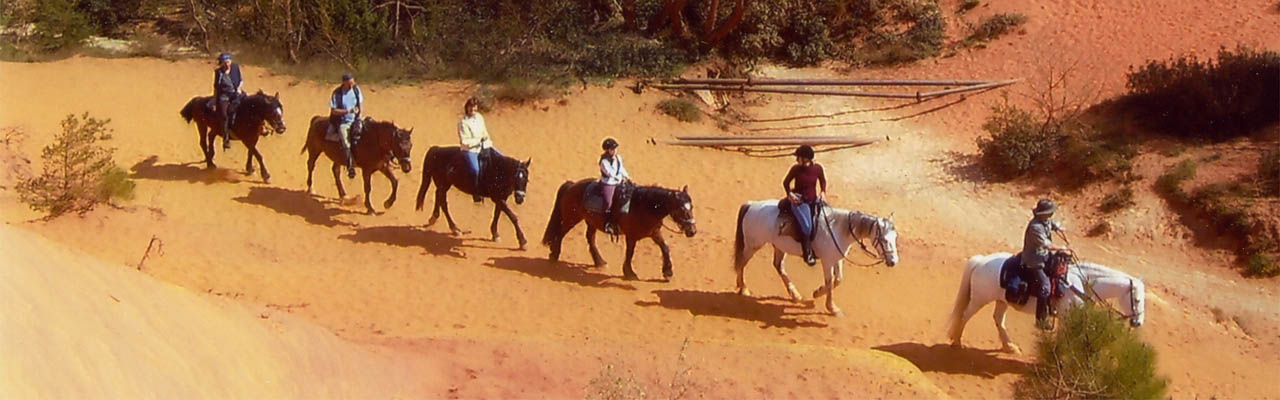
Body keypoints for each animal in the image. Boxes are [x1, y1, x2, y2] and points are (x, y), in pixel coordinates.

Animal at [542, 179, 701, 280]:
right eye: (681, 209)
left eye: (691, 207)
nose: (692, 231)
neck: (642, 206)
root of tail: (572, 185)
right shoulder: (631, 236)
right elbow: (630, 253)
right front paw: (629, 273)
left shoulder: (654, 233)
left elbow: (665, 248)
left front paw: (668, 272)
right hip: (571, 219)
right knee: (560, 234)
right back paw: (554, 255)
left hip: (591, 222)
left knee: (590, 238)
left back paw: (599, 261)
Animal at [732, 201, 901, 316]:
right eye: (884, 239)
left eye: (895, 238)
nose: (893, 262)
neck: (839, 229)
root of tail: (751, 205)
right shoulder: (827, 261)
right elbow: (830, 281)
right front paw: (831, 307)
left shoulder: (837, 259)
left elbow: (838, 280)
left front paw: (818, 293)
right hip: (753, 245)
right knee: (742, 262)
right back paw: (744, 288)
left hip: (779, 247)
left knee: (778, 266)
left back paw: (795, 295)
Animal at [947, 252, 1146, 353]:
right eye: (1137, 299)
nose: (1138, 322)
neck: (1078, 284)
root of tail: (981, 260)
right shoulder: (1066, 316)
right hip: (979, 299)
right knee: (965, 315)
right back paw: (956, 341)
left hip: (1001, 300)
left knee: (998, 320)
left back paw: (1009, 346)